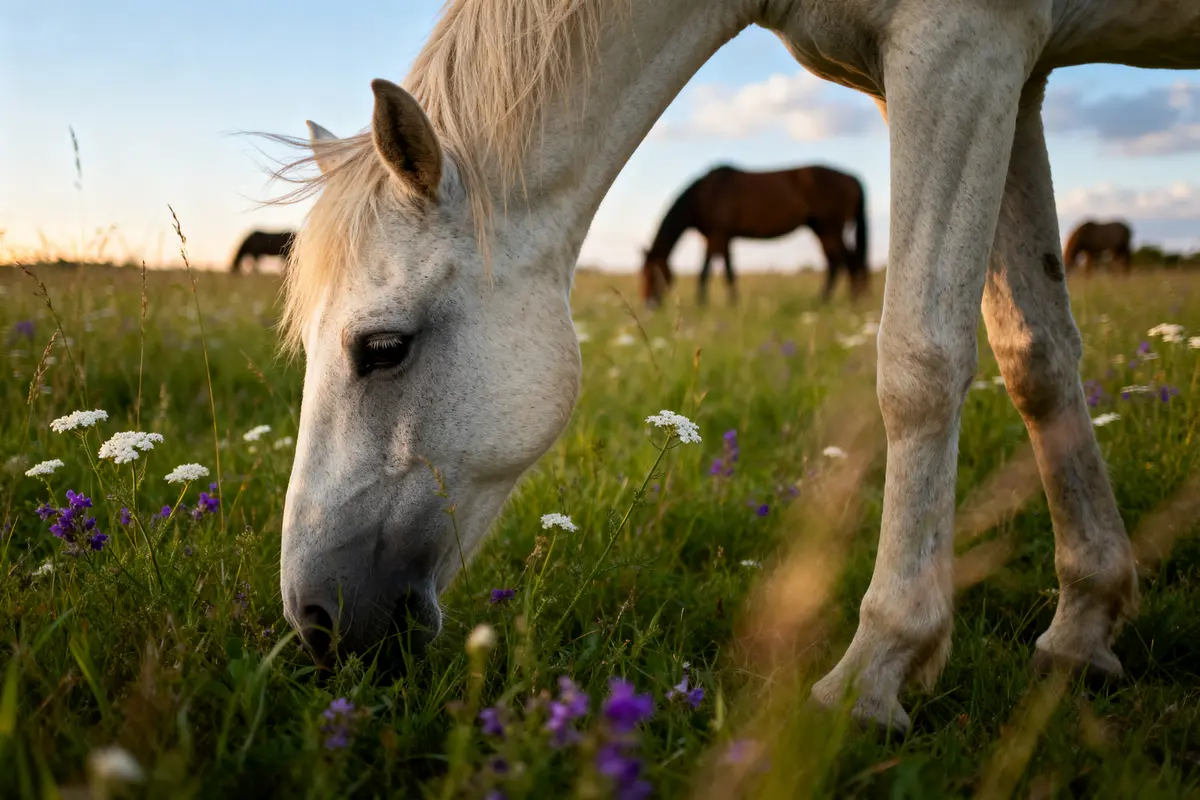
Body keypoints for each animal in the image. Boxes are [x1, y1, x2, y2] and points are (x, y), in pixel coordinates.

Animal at [641, 164, 868, 308]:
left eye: (651, 274)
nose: (648, 305)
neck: (702, 195)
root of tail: (852, 178)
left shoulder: (718, 236)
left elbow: (708, 271)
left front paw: (704, 304)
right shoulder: (720, 238)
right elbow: (725, 270)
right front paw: (730, 303)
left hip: (830, 228)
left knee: (847, 261)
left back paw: (846, 302)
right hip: (821, 229)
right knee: (837, 262)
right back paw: (831, 300)